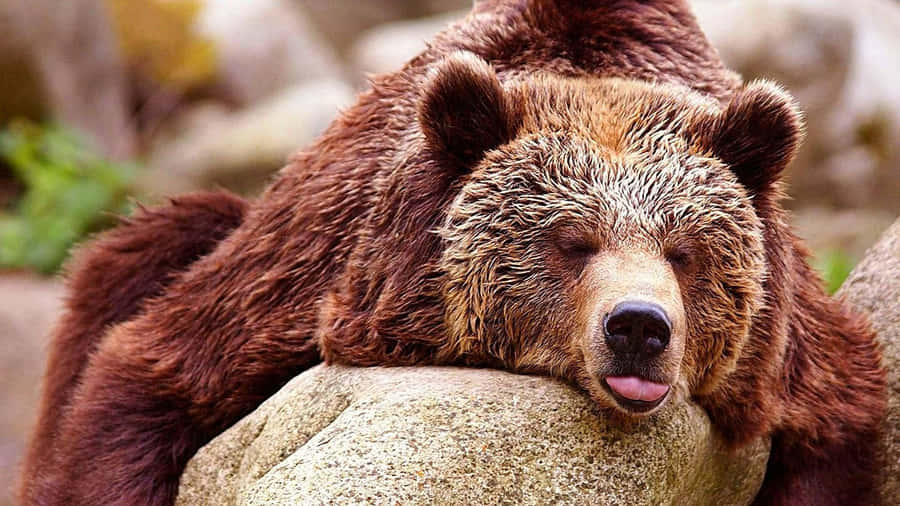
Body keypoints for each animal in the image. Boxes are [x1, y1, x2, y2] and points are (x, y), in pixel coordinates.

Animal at [19, 1, 886, 505]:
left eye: (683, 251)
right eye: (572, 241)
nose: (639, 326)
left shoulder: (786, 352)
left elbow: (834, 424)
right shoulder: (317, 274)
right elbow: (150, 371)